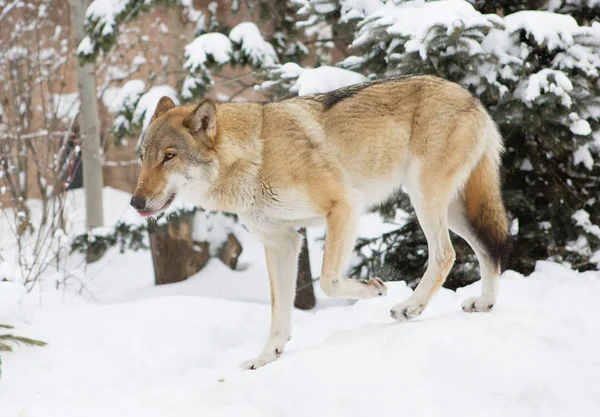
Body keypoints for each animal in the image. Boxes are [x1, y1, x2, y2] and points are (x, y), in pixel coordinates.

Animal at [129, 75, 508, 368]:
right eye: (143, 157)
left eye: (169, 157)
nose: (135, 203)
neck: (256, 157)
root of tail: (472, 97)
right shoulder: (282, 242)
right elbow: (279, 310)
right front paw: (266, 358)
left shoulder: (344, 205)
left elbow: (328, 280)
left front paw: (375, 289)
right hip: (452, 209)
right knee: (488, 249)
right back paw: (484, 303)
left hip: (424, 199)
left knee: (446, 254)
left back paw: (409, 307)